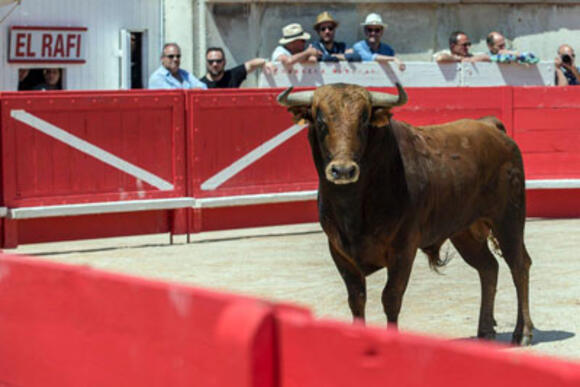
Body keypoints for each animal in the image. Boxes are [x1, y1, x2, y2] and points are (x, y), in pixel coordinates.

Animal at [276, 84, 536, 346]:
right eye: (320, 121)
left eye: (364, 120)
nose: (343, 170)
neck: (353, 203)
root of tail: (491, 126)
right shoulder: (339, 251)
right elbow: (356, 299)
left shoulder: (403, 249)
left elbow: (391, 298)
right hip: (465, 232)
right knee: (488, 268)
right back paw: (485, 331)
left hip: (509, 219)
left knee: (519, 265)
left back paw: (522, 332)